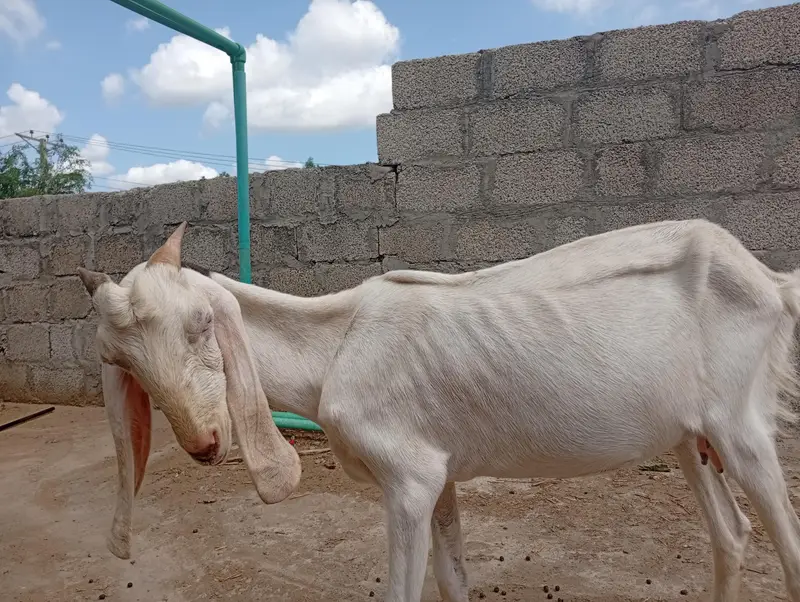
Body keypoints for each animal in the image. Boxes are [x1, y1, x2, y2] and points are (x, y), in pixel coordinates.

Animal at [77, 217, 800, 602]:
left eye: (203, 324)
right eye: (120, 361)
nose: (204, 444)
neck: (336, 348)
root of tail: (767, 279)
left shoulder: (409, 480)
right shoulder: (442, 474)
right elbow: (453, 581)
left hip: (741, 425)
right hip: (689, 435)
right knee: (731, 534)